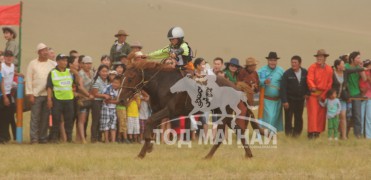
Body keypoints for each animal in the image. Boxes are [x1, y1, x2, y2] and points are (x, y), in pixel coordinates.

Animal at [120, 62, 260, 159]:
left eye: (130, 78)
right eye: (122, 77)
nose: (121, 99)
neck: (162, 84)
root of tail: (235, 87)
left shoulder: (170, 111)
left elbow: (149, 122)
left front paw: (147, 146)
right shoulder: (156, 111)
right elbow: (151, 125)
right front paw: (143, 152)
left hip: (224, 114)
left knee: (227, 134)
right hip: (223, 115)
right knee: (236, 131)